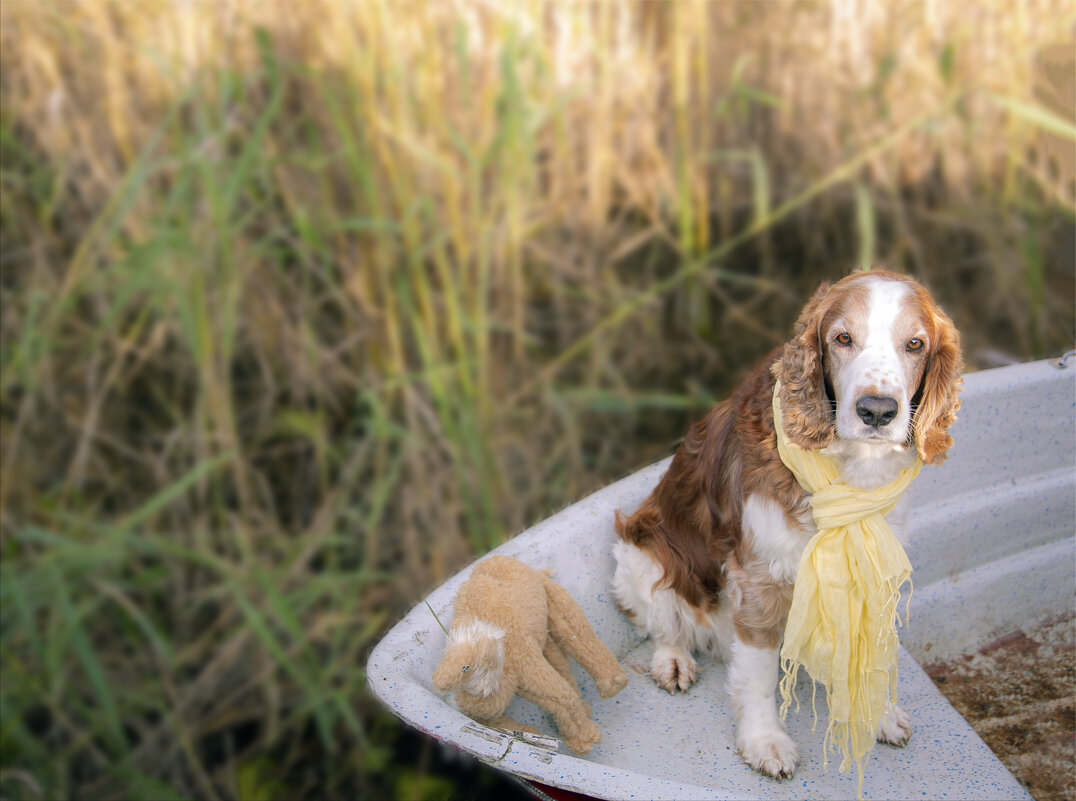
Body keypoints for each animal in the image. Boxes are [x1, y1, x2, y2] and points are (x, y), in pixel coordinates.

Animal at [611, 269, 964, 775]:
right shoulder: (758, 579)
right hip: (640, 553)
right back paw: (673, 662)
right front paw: (765, 741)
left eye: (915, 344)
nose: (877, 411)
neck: (848, 474)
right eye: (842, 338)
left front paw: (874, 713)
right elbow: (757, 676)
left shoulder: (867, 569)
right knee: (663, 619)